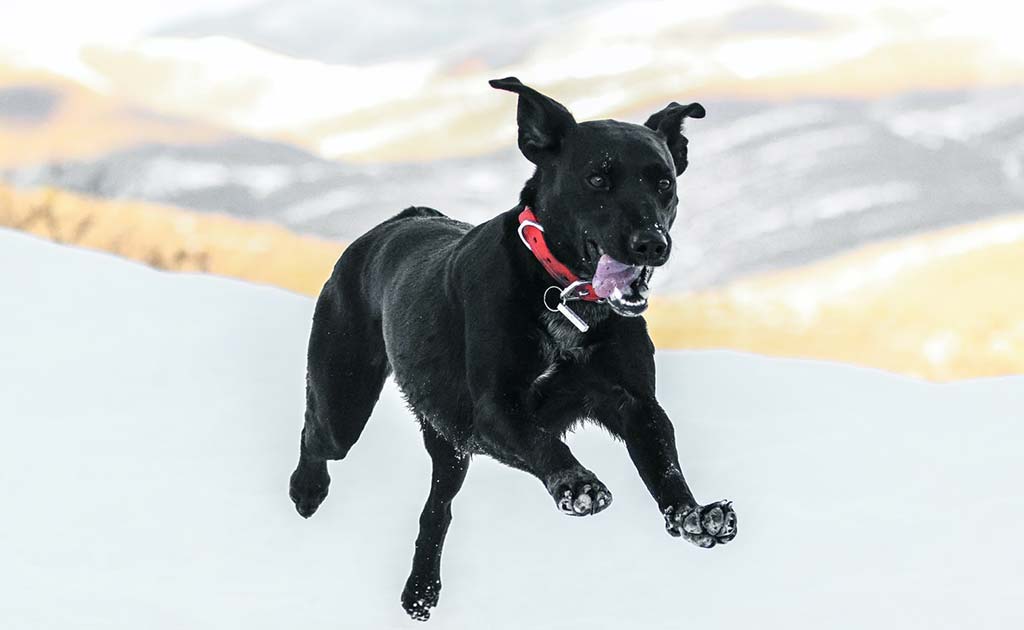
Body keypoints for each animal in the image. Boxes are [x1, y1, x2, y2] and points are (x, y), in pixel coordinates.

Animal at [288, 77, 737, 622]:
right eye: (597, 179)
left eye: (664, 182)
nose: (652, 243)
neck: (560, 293)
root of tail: (398, 221)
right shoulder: (495, 411)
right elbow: (544, 442)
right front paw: (577, 485)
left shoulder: (635, 403)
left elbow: (664, 464)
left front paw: (695, 516)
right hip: (345, 398)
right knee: (316, 434)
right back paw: (307, 489)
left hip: (449, 443)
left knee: (436, 511)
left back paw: (421, 590)